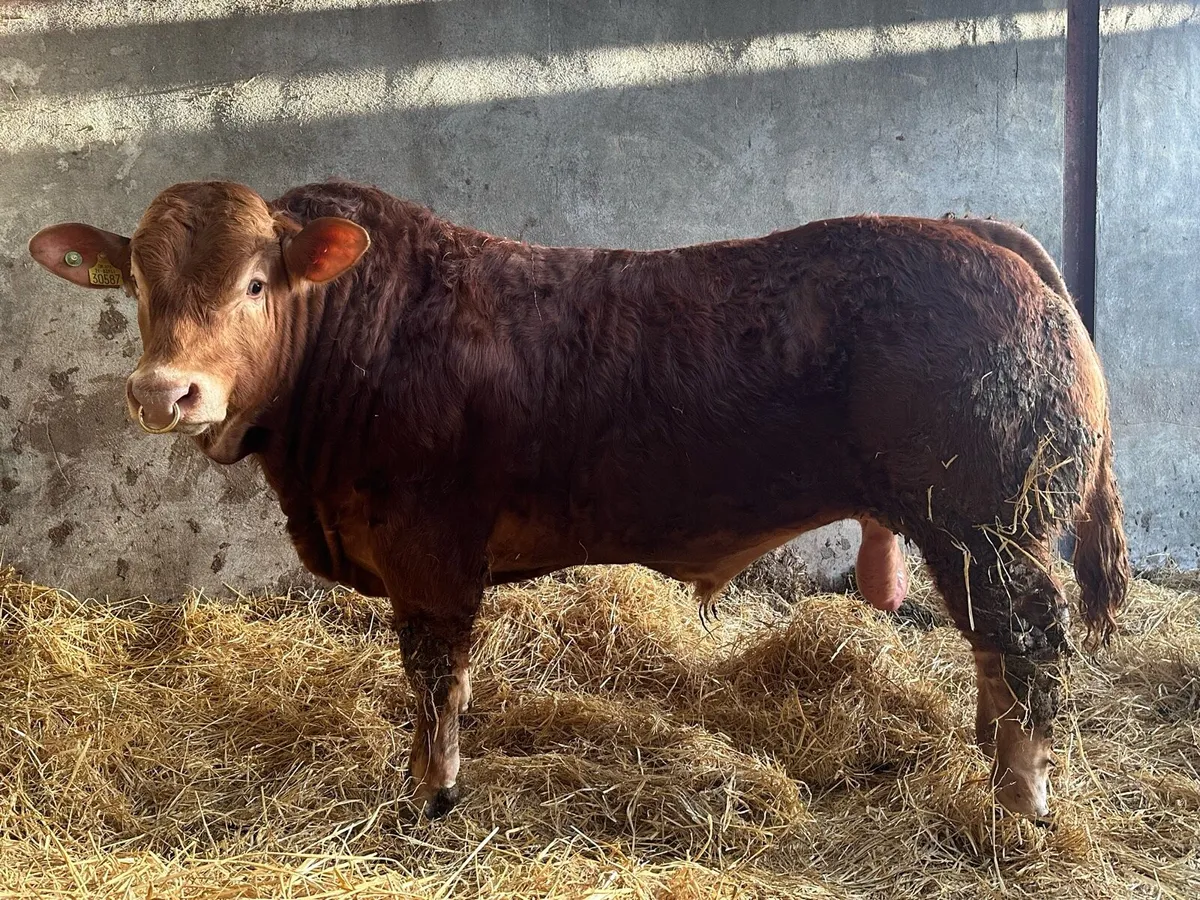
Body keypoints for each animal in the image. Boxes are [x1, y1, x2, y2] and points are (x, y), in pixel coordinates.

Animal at [29, 180, 1130, 821]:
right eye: (136, 285)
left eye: (257, 282)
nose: (164, 392)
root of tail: (974, 235)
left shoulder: (429, 552)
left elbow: (436, 676)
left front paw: (432, 791)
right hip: (969, 532)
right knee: (994, 646)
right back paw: (990, 759)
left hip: (995, 524)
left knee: (1032, 644)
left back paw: (1020, 800)